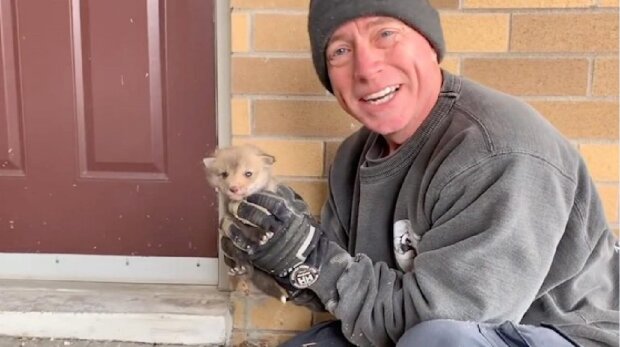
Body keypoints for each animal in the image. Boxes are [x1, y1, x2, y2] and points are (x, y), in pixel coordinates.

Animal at [205, 144, 290, 302]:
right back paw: (240, 268)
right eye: (224, 174)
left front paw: (263, 233)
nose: (233, 188)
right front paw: (258, 236)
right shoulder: (229, 221)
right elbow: (242, 233)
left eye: (248, 174)